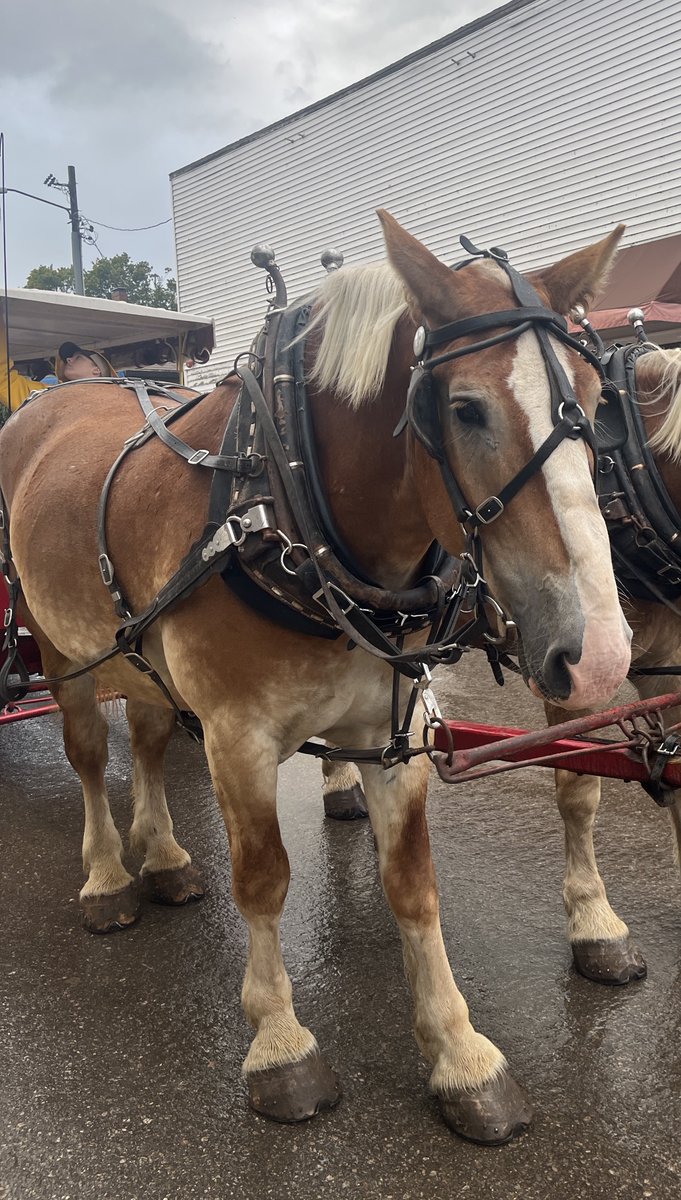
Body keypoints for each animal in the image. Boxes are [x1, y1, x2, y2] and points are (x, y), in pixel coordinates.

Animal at [0, 210, 631, 1144]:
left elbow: (413, 885)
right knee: (87, 755)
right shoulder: (235, 734)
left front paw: (460, 1054)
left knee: (145, 741)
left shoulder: (391, 729)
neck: (287, 501)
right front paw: (280, 1046)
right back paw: (110, 875)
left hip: (138, 655)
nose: (600, 658)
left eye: (594, 400)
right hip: (59, 647)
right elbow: (263, 879)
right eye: (464, 408)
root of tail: (59, 397)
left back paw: (164, 855)